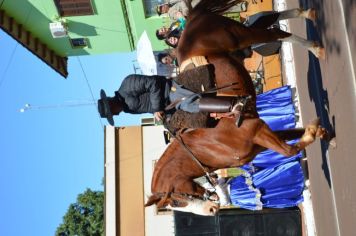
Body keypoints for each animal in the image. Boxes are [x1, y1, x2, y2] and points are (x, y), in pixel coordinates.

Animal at [145, 0, 328, 216]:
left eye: (176, 200)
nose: (212, 210)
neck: (206, 146)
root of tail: (191, 20)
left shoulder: (258, 130)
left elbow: (290, 150)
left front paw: (312, 133)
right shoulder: (264, 137)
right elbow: (294, 134)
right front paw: (320, 132)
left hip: (240, 36)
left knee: (275, 33)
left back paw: (315, 47)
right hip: (241, 38)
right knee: (269, 21)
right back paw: (307, 15)